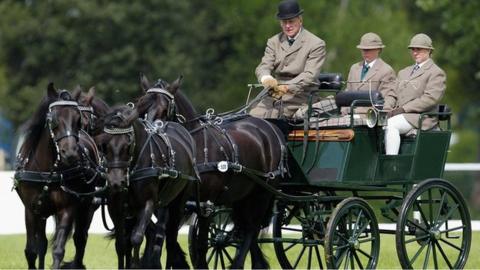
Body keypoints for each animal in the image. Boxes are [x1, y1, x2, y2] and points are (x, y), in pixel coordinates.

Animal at [14, 83, 102, 268]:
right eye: (54, 119)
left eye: (77, 120)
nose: (70, 153)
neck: (48, 173)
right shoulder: (31, 210)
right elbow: (32, 251)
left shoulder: (67, 209)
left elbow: (58, 250)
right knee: (42, 244)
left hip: (87, 206)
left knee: (80, 238)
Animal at [95, 105, 199, 268]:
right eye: (104, 146)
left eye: (128, 145)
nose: (116, 182)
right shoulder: (116, 207)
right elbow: (121, 244)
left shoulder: (147, 203)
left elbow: (137, 238)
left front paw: (135, 265)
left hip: (178, 203)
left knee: (170, 238)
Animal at [135, 75, 286, 268]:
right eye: (140, 107)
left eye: (163, 110)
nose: (149, 138)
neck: (194, 146)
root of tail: (271, 128)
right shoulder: (169, 199)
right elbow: (163, 236)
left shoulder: (206, 203)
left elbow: (199, 243)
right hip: (241, 196)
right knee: (245, 228)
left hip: (262, 193)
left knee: (252, 228)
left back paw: (238, 264)